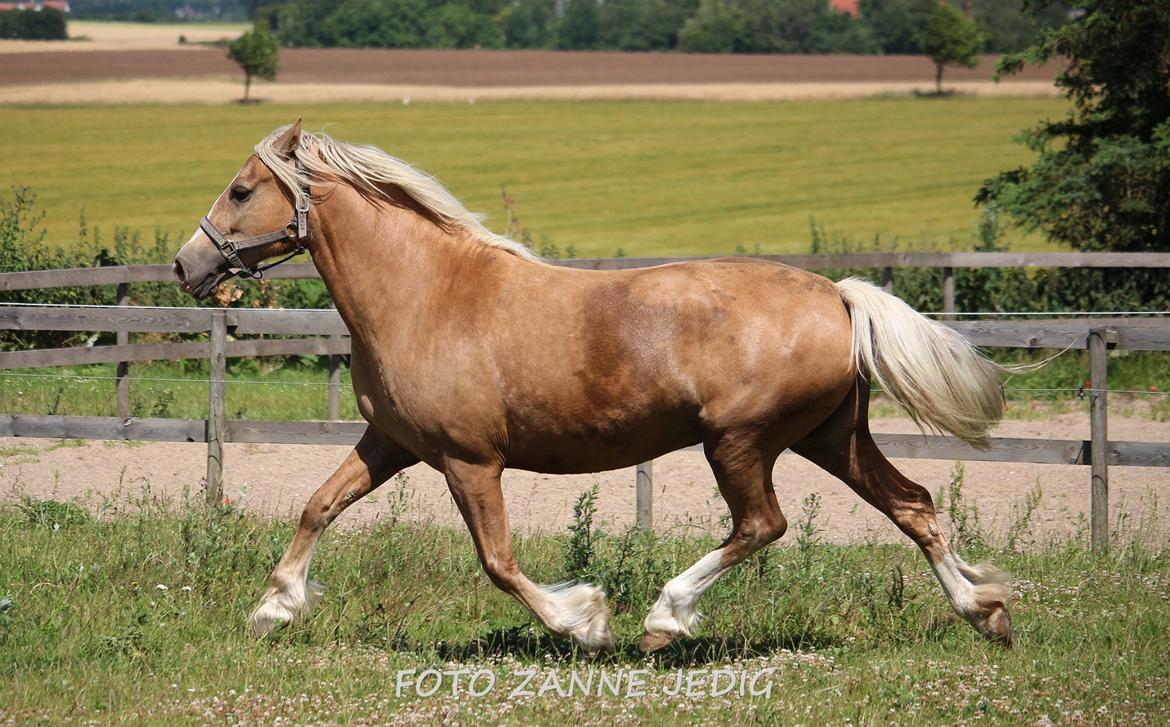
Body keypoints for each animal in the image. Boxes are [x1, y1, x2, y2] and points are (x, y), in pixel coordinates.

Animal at [173, 120, 1015, 650]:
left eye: (242, 190)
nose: (188, 264)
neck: (426, 293)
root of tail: (837, 295)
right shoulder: (392, 442)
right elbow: (318, 505)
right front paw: (273, 607)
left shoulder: (469, 460)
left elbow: (499, 561)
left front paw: (585, 620)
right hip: (829, 436)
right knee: (914, 504)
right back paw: (986, 612)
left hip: (741, 441)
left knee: (763, 524)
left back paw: (664, 618)